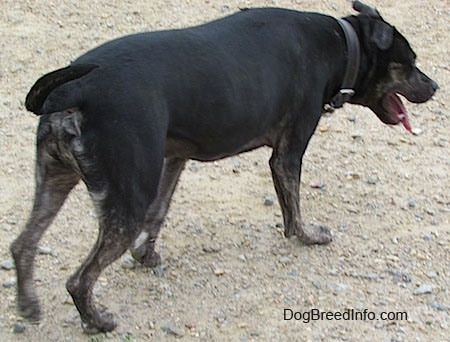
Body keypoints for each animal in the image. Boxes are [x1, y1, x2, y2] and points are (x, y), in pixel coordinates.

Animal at [12, 0, 438, 334]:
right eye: (409, 64)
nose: (434, 87)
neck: (341, 43)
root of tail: (72, 90)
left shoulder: (174, 157)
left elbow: (159, 212)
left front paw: (146, 255)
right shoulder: (288, 153)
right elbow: (294, 208)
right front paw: (308, 236)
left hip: (56, 178)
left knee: (23, 244)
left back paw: (29, 305)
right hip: (124, 198)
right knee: (78, 279)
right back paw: (96, 321)